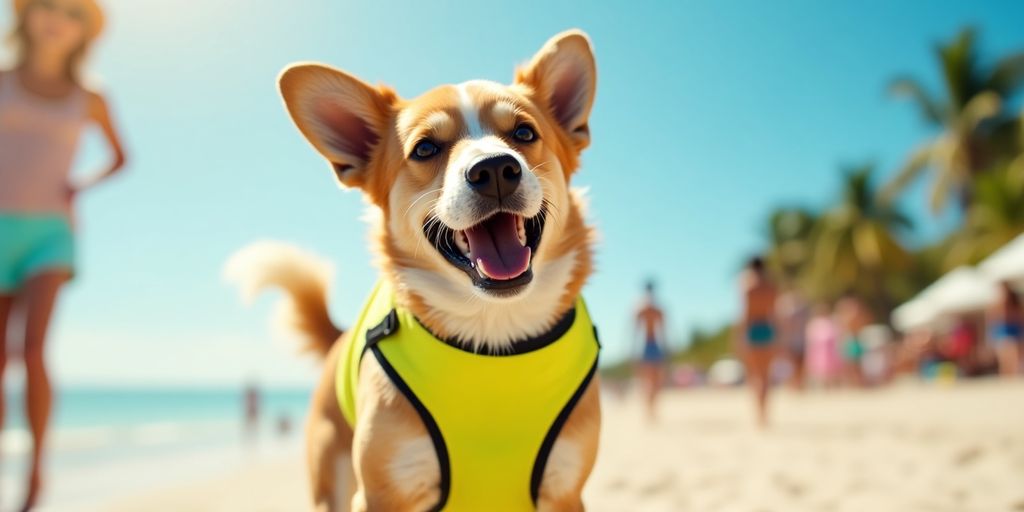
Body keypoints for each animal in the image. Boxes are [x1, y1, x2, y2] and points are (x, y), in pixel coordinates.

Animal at [226, 29, 598, 512]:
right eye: (425, 148)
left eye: (523, 132)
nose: (495, 168)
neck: (494, 331)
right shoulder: (383, 493)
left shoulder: (565, 490)